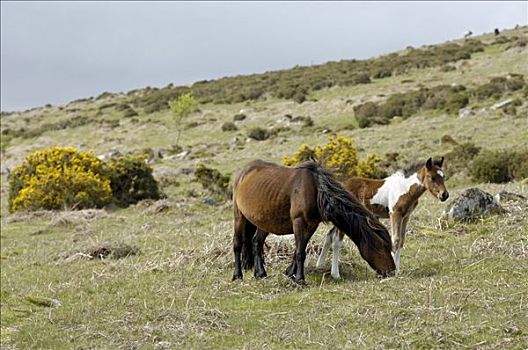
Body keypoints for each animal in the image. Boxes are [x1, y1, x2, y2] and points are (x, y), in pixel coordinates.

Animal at [233, 159, 394, 284]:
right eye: (382, 246)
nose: (392, 271)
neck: (316, 191)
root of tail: (244, 172)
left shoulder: (311, 226)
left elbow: (299, 250)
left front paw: (290, 273)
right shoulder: (299, 222)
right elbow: (300, 252)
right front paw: (300, 279)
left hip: (264, 222)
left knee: (256, 242)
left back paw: (260, 273)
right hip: (239, 217)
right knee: (237, 244)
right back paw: (237, 275)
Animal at [318, 157, 450, 278]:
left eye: (443, 176)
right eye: (432, 177)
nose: (444, 195)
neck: (405, 188)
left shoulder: (405, 216)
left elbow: (401, 241)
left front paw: (397, 270)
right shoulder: (395, 214)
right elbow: (395, 240)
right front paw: (395, 272)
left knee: (330, 235)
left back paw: (320, 265)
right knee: (337, 240)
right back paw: (335, 274)